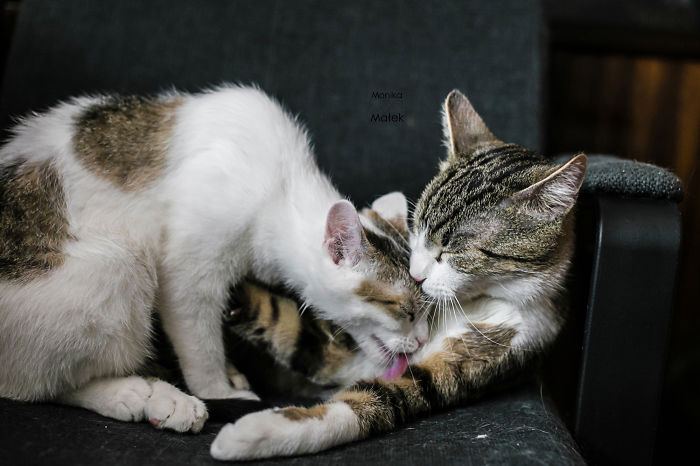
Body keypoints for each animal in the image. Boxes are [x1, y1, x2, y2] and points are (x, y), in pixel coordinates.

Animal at [0, 85, 428, 432]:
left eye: (427, 309)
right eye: (404, 310)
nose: (423, 339)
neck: (282, 188)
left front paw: (227, 373)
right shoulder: (188, 270)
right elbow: (200, 343)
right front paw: (217, 387)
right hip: (117, 265)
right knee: (32, 385)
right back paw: (141, 395)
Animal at [209, 90, 587, 460]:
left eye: (451, 250)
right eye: (417, 228)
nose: (416, 274)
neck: (472, 304)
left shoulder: (489, 352)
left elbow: (377, 399)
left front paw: (255, 434)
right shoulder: (346, 345)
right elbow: (287, 322)